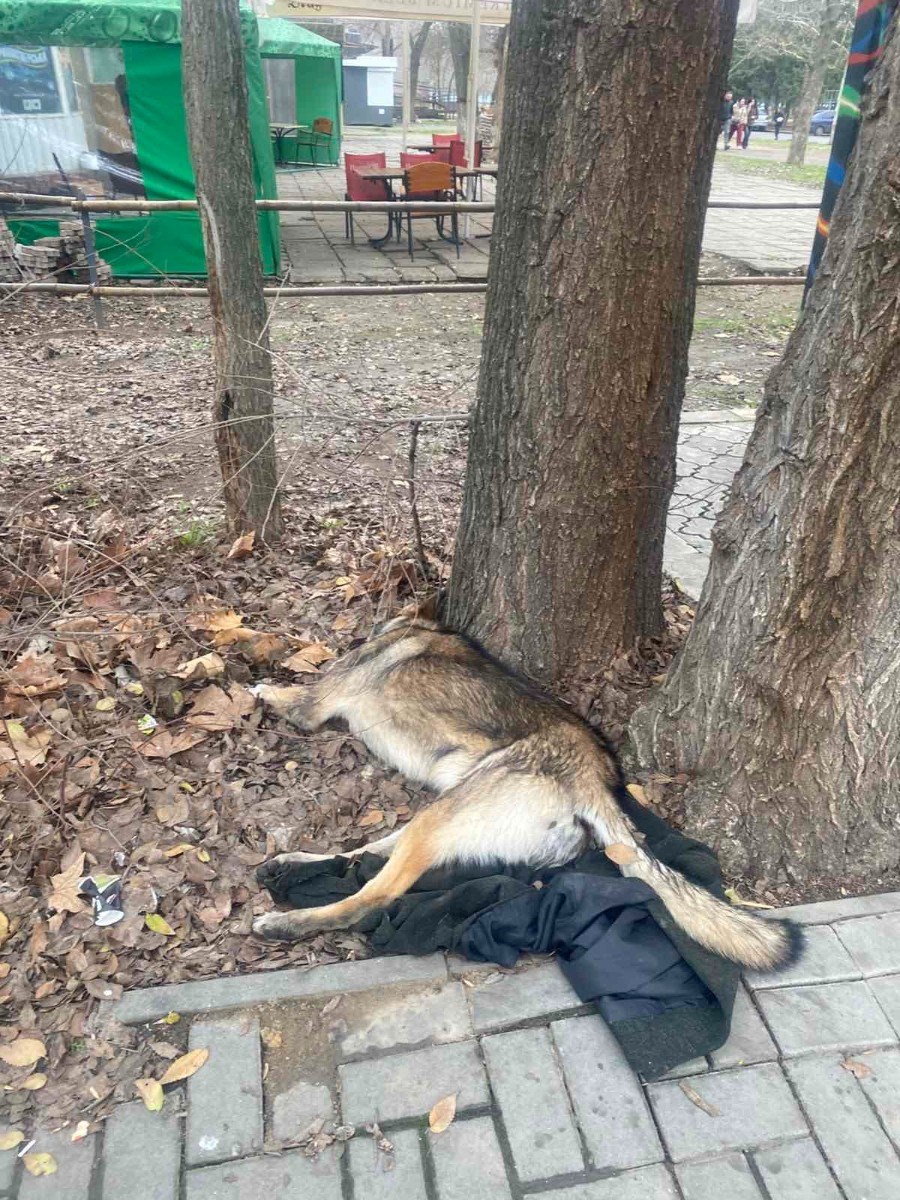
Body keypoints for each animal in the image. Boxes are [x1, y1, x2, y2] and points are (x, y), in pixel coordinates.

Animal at [251, 617, 800, 971]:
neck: (420, 628)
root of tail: (598, 780)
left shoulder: (316, 702)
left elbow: (291, 687)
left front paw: (260, 681)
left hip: (442, 814)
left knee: (373, 895)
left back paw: (286, 923)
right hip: (443, 814)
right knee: (364, 856)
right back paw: (292, 865)